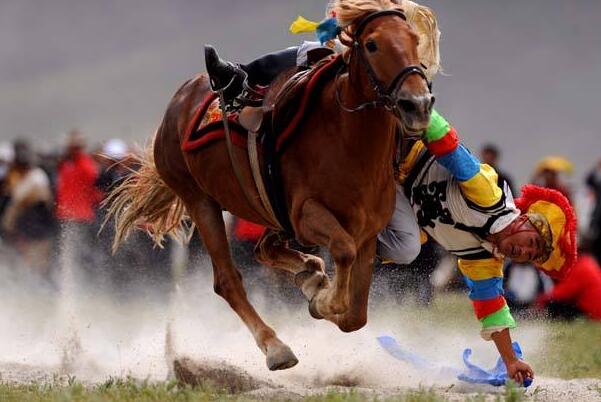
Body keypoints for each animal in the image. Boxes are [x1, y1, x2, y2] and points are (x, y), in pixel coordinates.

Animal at [108, 0, 432, 370]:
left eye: (414, 39)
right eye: (372, 44)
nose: (417, 104)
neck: (345, 138)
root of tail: (179, 99)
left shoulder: (367, 232)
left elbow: (355, 317)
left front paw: (317, 290)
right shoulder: (306, 216)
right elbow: (342, 257)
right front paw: (322, 300)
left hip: (265, 211)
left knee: (266, 250)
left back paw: (310, 274)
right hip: (200, 201)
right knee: (228, 280)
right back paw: (276, 346)